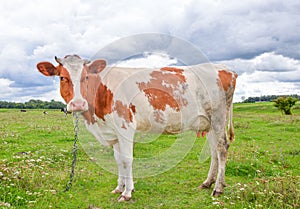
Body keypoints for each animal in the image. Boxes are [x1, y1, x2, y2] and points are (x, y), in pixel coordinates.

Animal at [36, 54, 238, 202]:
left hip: (219, 117)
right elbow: (118, 160)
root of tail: (227, 69)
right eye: (62, 77)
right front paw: (119, 188)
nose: (78, 104)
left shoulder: (125, 127)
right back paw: (207, 182)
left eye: (86, 77)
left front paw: (127, 193)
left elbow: (127, 160)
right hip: (208, 122)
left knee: (222, 148)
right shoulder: (114, 132)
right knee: (214, 150)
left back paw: (218, 188)